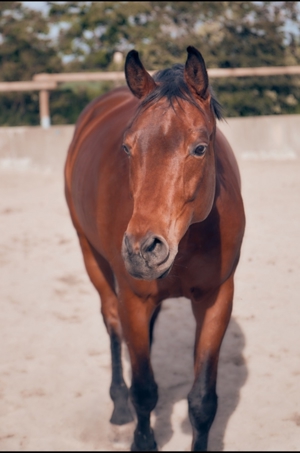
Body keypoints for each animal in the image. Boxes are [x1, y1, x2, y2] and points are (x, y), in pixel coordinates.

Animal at [64, 46, 245, 448]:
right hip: (92, 257)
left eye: (199, 148)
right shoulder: (134, 298)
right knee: (113, 323)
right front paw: (141, 438)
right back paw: (118, 404)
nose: (143, 250)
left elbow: (203, 401)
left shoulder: (217, 299)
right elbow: (145, 391)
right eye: (127, 147)